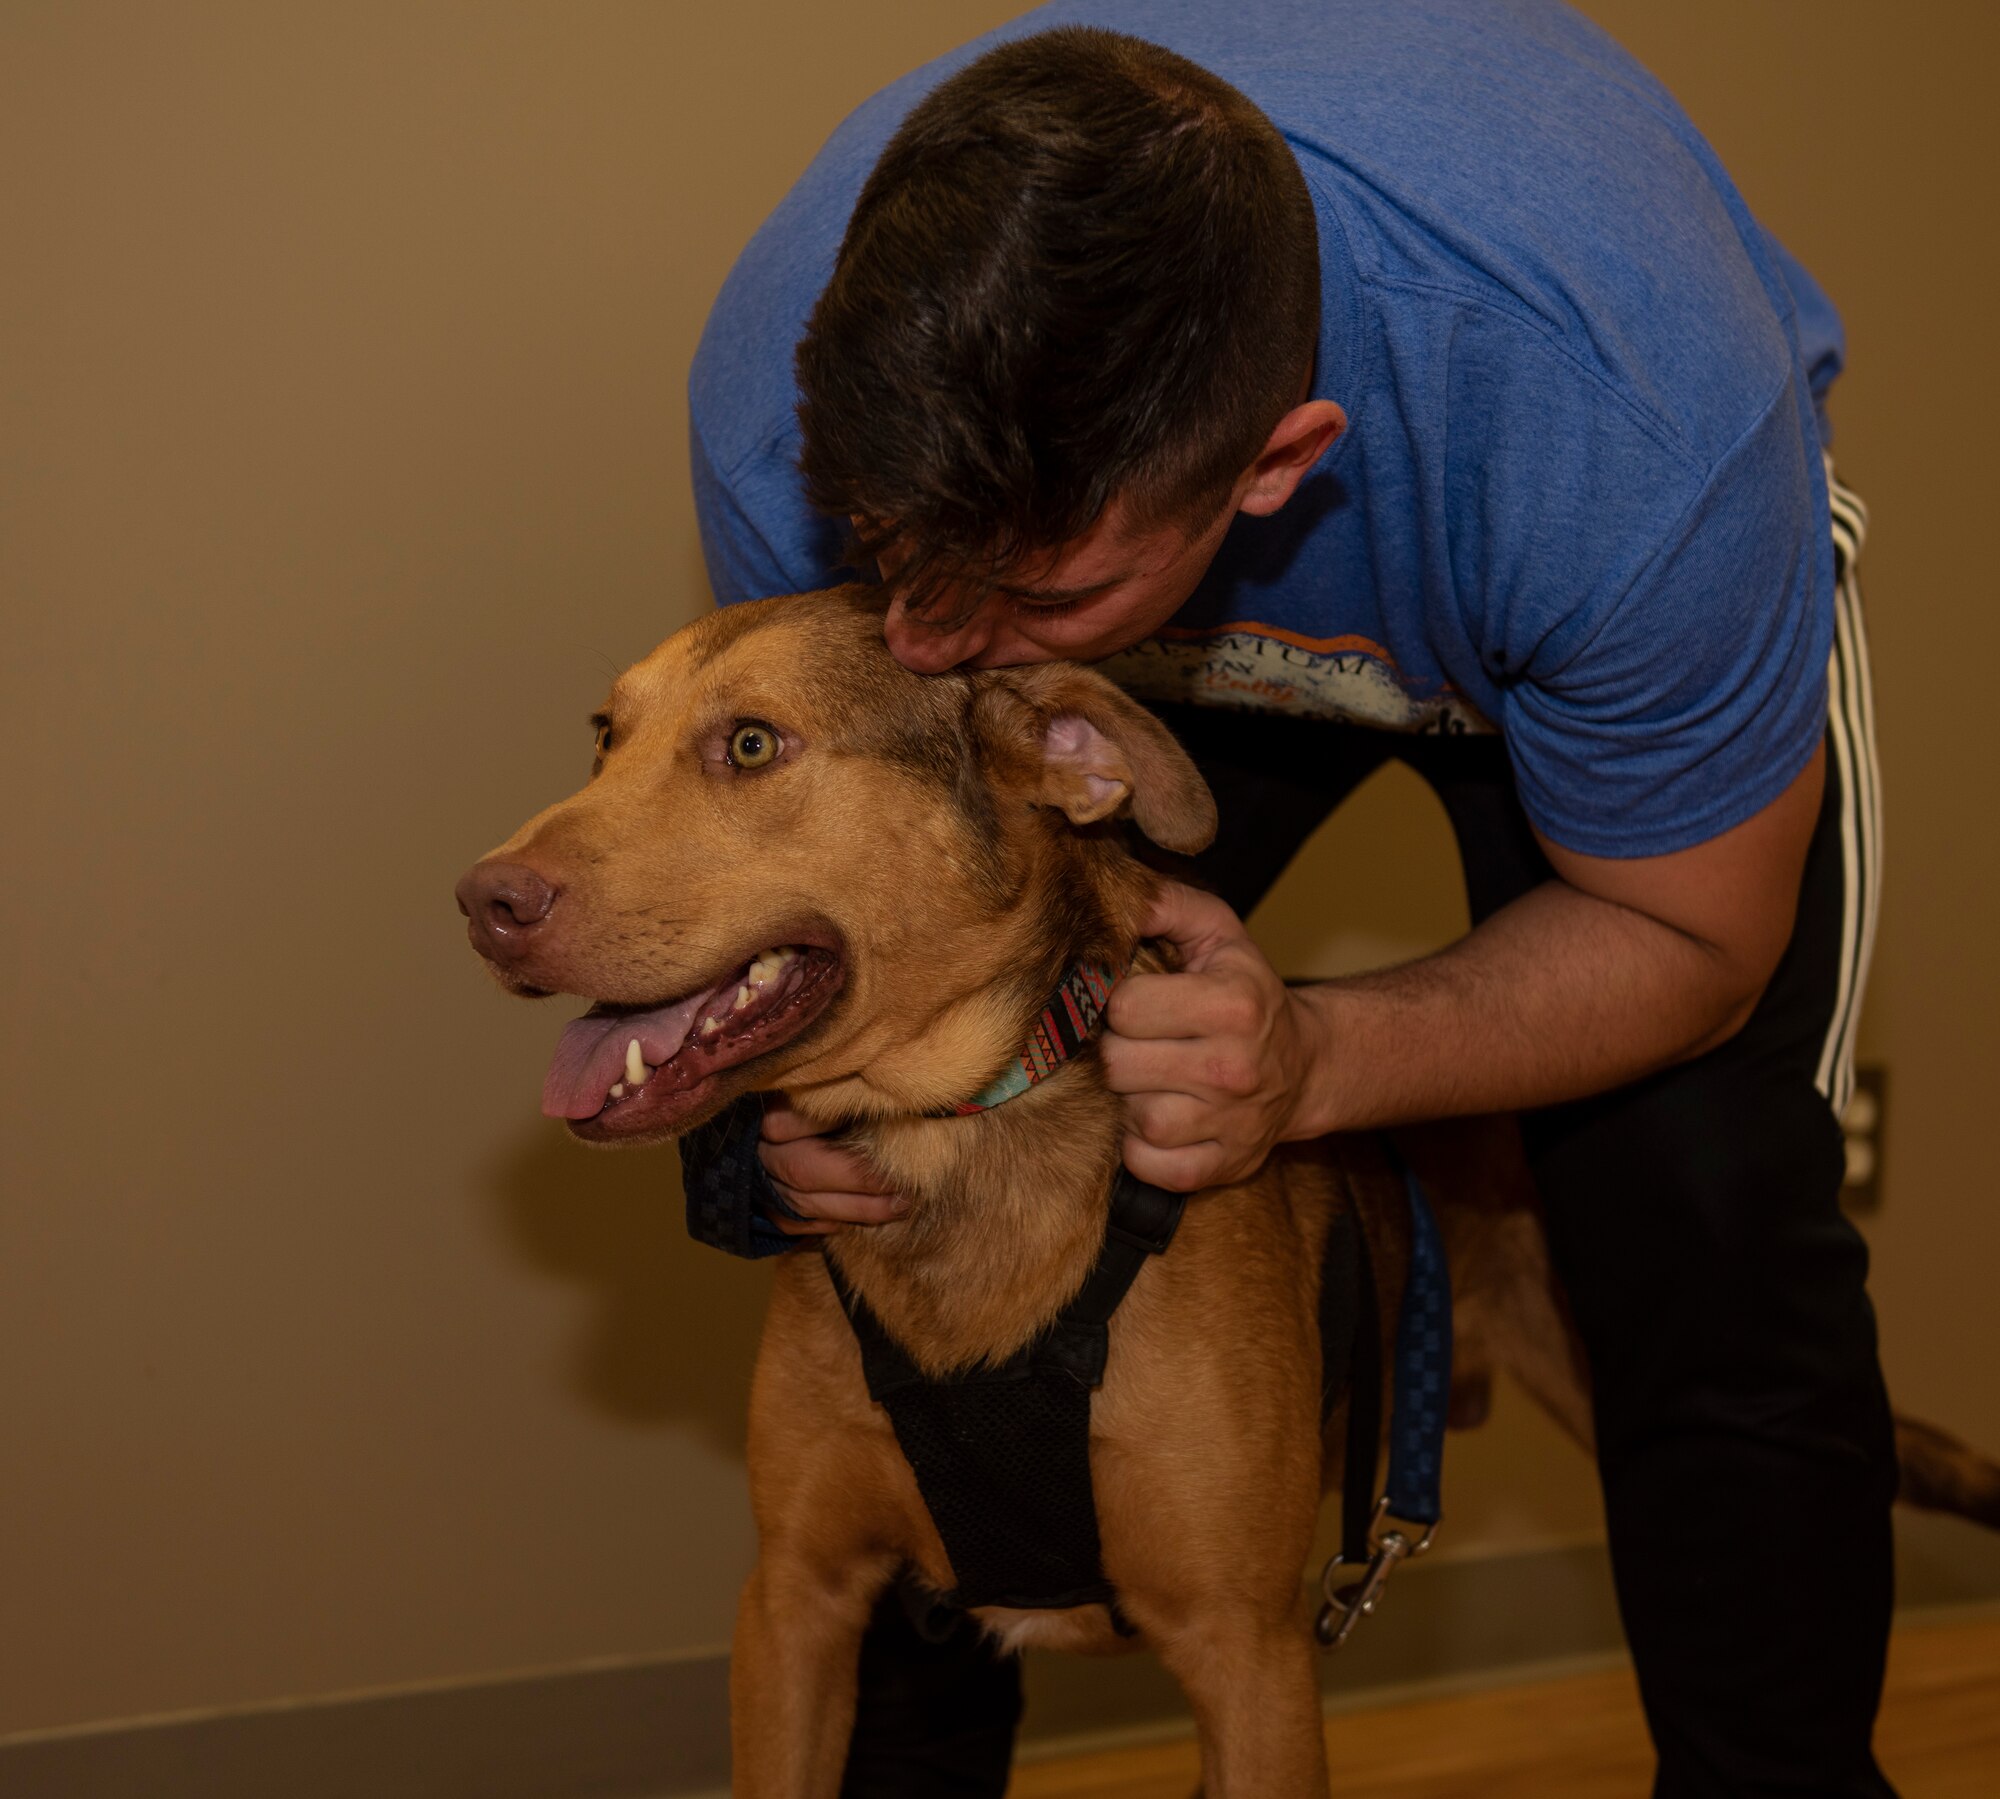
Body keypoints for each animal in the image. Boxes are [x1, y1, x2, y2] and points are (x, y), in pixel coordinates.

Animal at [458, 591, 2000, 1799]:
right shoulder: (798, 1605)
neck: (961, 1142)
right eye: (605, 736)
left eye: (751, 744)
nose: (481, 901)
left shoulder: (1247, 1654)